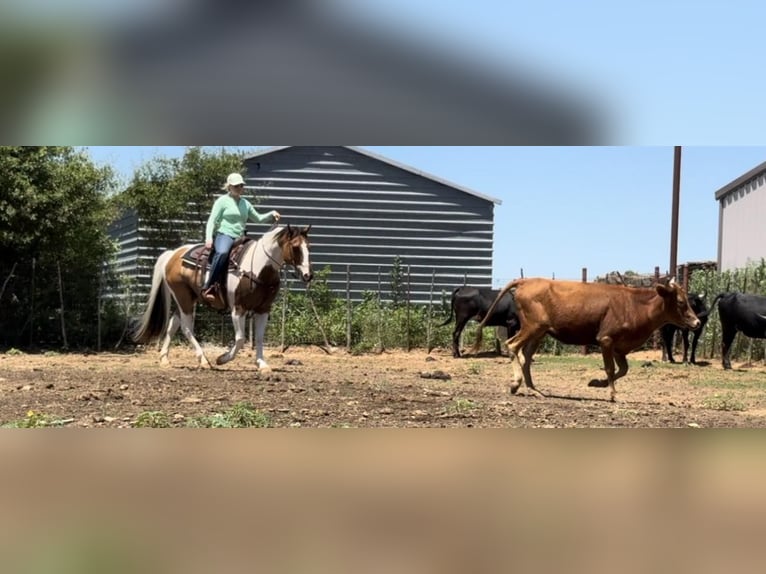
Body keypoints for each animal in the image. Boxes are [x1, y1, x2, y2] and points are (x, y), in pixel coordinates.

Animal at [134, 223, 314, 372]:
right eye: (295, 246)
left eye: (309, 246)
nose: (308, 275)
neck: (258, 268)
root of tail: (173, 254)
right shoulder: (238, 309)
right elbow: (240, 339)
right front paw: (222, 359)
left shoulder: (263, 309)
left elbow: (259, 337)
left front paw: (262, 364)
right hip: (183, 298)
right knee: (186, 328)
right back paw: (204, 360)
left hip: (187, 299)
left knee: (173, 325)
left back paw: (165, 359)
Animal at [474, 278, 704, 402]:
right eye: (681, 302)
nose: (697, 322)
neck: (635, 305)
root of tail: (528, 280)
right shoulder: (606, 340)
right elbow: (611, 369)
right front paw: (612, 393)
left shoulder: (620, 348)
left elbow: (623, 370)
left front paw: (597, 383)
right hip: (533, 326)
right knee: (512, 346)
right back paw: (516, 383)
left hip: (539, 332)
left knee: (526, 357)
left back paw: (532, 389)